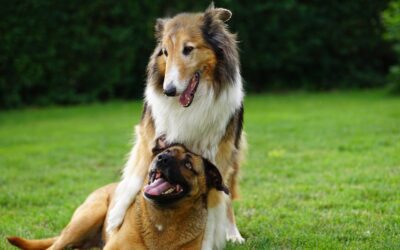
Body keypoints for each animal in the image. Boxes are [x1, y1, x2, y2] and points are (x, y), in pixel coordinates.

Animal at [106, 3, 244, 248]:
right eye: (165, 52)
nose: (169, 90)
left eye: (188, 49)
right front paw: (115, 217)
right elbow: (136, 176)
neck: (191, 105)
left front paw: (210, 239)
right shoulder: (150, 136)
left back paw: (233, 232)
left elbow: (214, 205)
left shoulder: (218, 155)